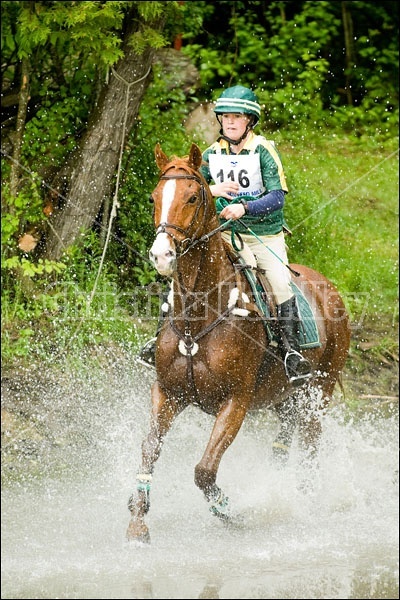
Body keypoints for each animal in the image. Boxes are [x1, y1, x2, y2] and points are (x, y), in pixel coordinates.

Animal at [127, 143, 350, 540]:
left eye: (191, 197)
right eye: (154, 196)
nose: (161, 255)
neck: (200, 315)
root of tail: (330, 289)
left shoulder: (236, 400)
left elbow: (204, 470)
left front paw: (227, 509)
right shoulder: (167, 391)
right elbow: (150, 447)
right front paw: (138, 520)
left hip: (318, 393)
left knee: (310, 447)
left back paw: (303, 504)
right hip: (284, 397)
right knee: (284, 441)